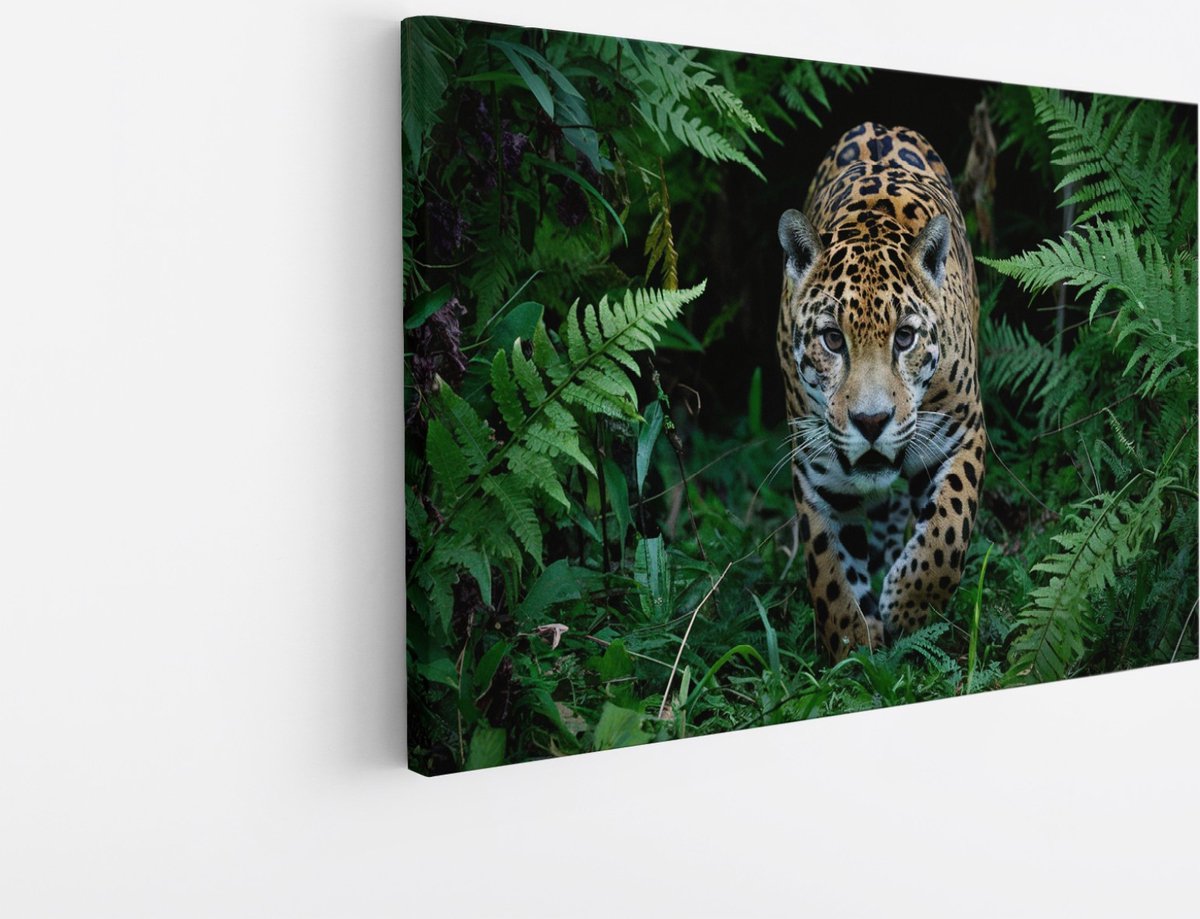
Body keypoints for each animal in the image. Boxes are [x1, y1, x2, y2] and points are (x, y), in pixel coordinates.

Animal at [775, 122, 986, 662]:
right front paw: (852, 650)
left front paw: (909, 608)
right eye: (832, 339)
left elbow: (948, 529)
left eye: (904, 337)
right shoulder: (817, 467)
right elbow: (828, 570)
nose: (871, 423)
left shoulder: (962, 432)